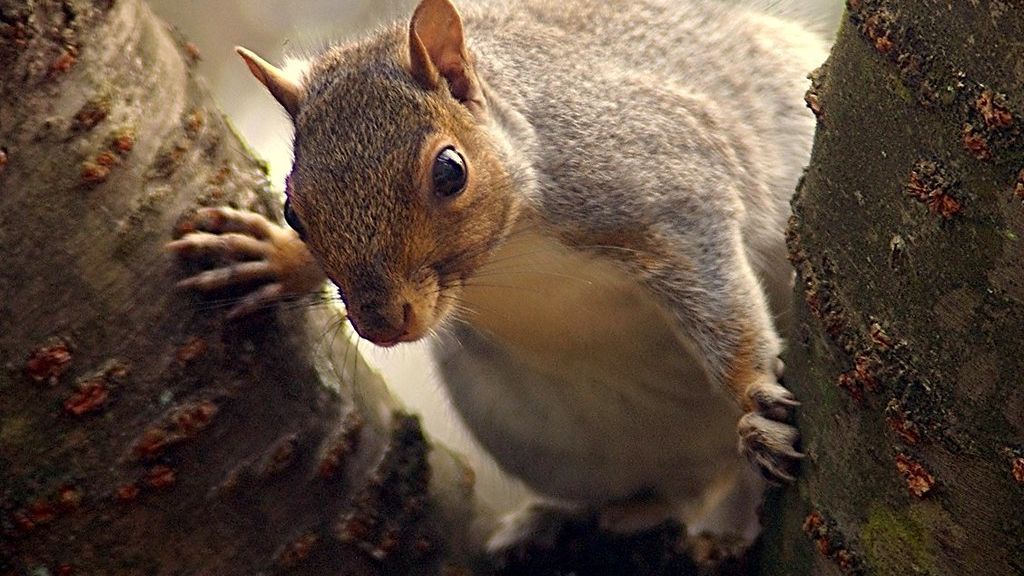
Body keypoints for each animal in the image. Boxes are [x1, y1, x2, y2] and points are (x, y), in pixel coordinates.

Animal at [169, 0, 827, 552]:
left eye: (450, 171)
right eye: (293, 211)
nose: (381, 324)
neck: (506, 250)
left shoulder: (664, 192)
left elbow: (723, 308)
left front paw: (756, 400)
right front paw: (274, 259)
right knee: (682, 491)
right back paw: (584, 517)